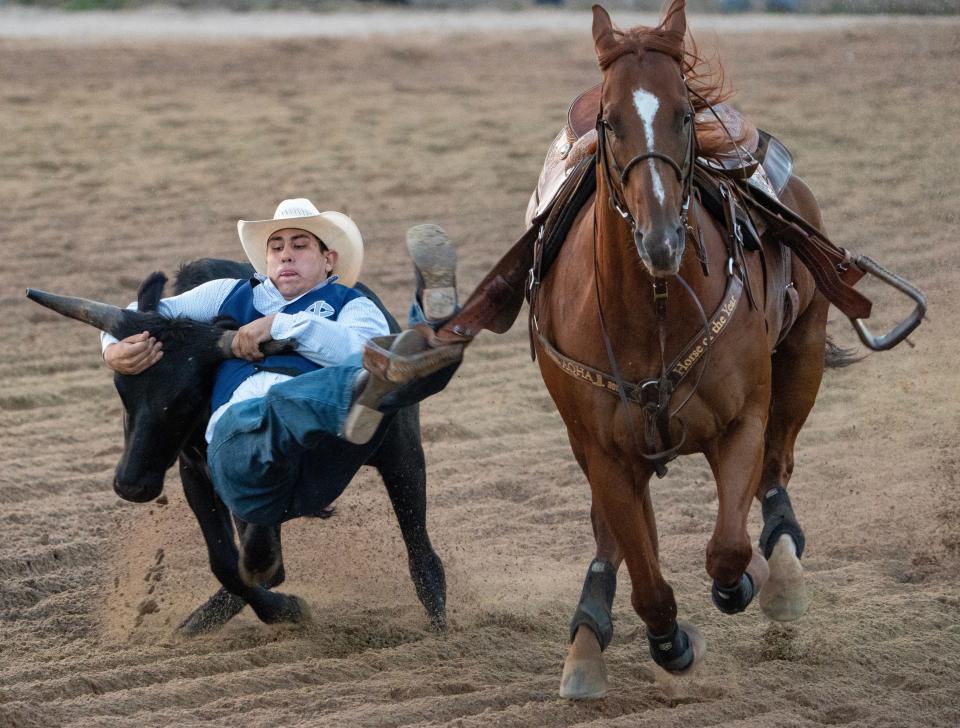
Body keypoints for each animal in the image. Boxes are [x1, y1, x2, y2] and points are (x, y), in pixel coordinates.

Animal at [536, 1, 836, 700]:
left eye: (682, 113)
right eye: (611, 121)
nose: (662, 240)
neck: (652, 314)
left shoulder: (743, 420)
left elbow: (727, 548)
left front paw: (745, 583)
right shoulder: (605, 452)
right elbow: (647, 580)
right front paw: (670, 641)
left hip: (803, 349)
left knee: (777, 471)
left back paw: (782, 575)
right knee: (614, 536)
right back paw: (586, 641)